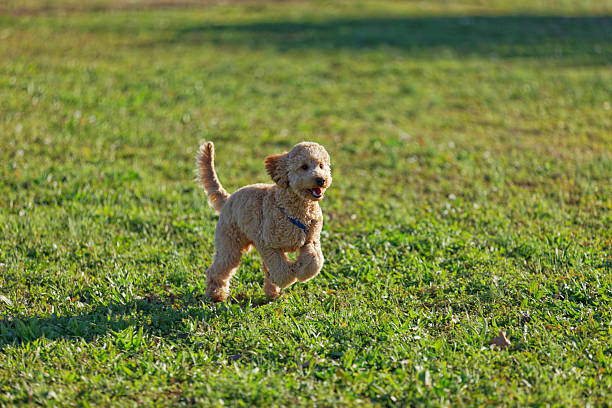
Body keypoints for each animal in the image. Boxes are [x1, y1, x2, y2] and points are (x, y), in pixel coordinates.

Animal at [197, 142, 332, 302]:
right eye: (304, 166)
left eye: (321, 165)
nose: (321, 180)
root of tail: (228, 199)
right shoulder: (268, 245)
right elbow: (282, 272)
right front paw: (292, 270)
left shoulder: (311, 240)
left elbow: (314, 261)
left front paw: (298, 267)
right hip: (230, 244)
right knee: (218, 269)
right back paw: (215, 295)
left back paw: (272, 292)